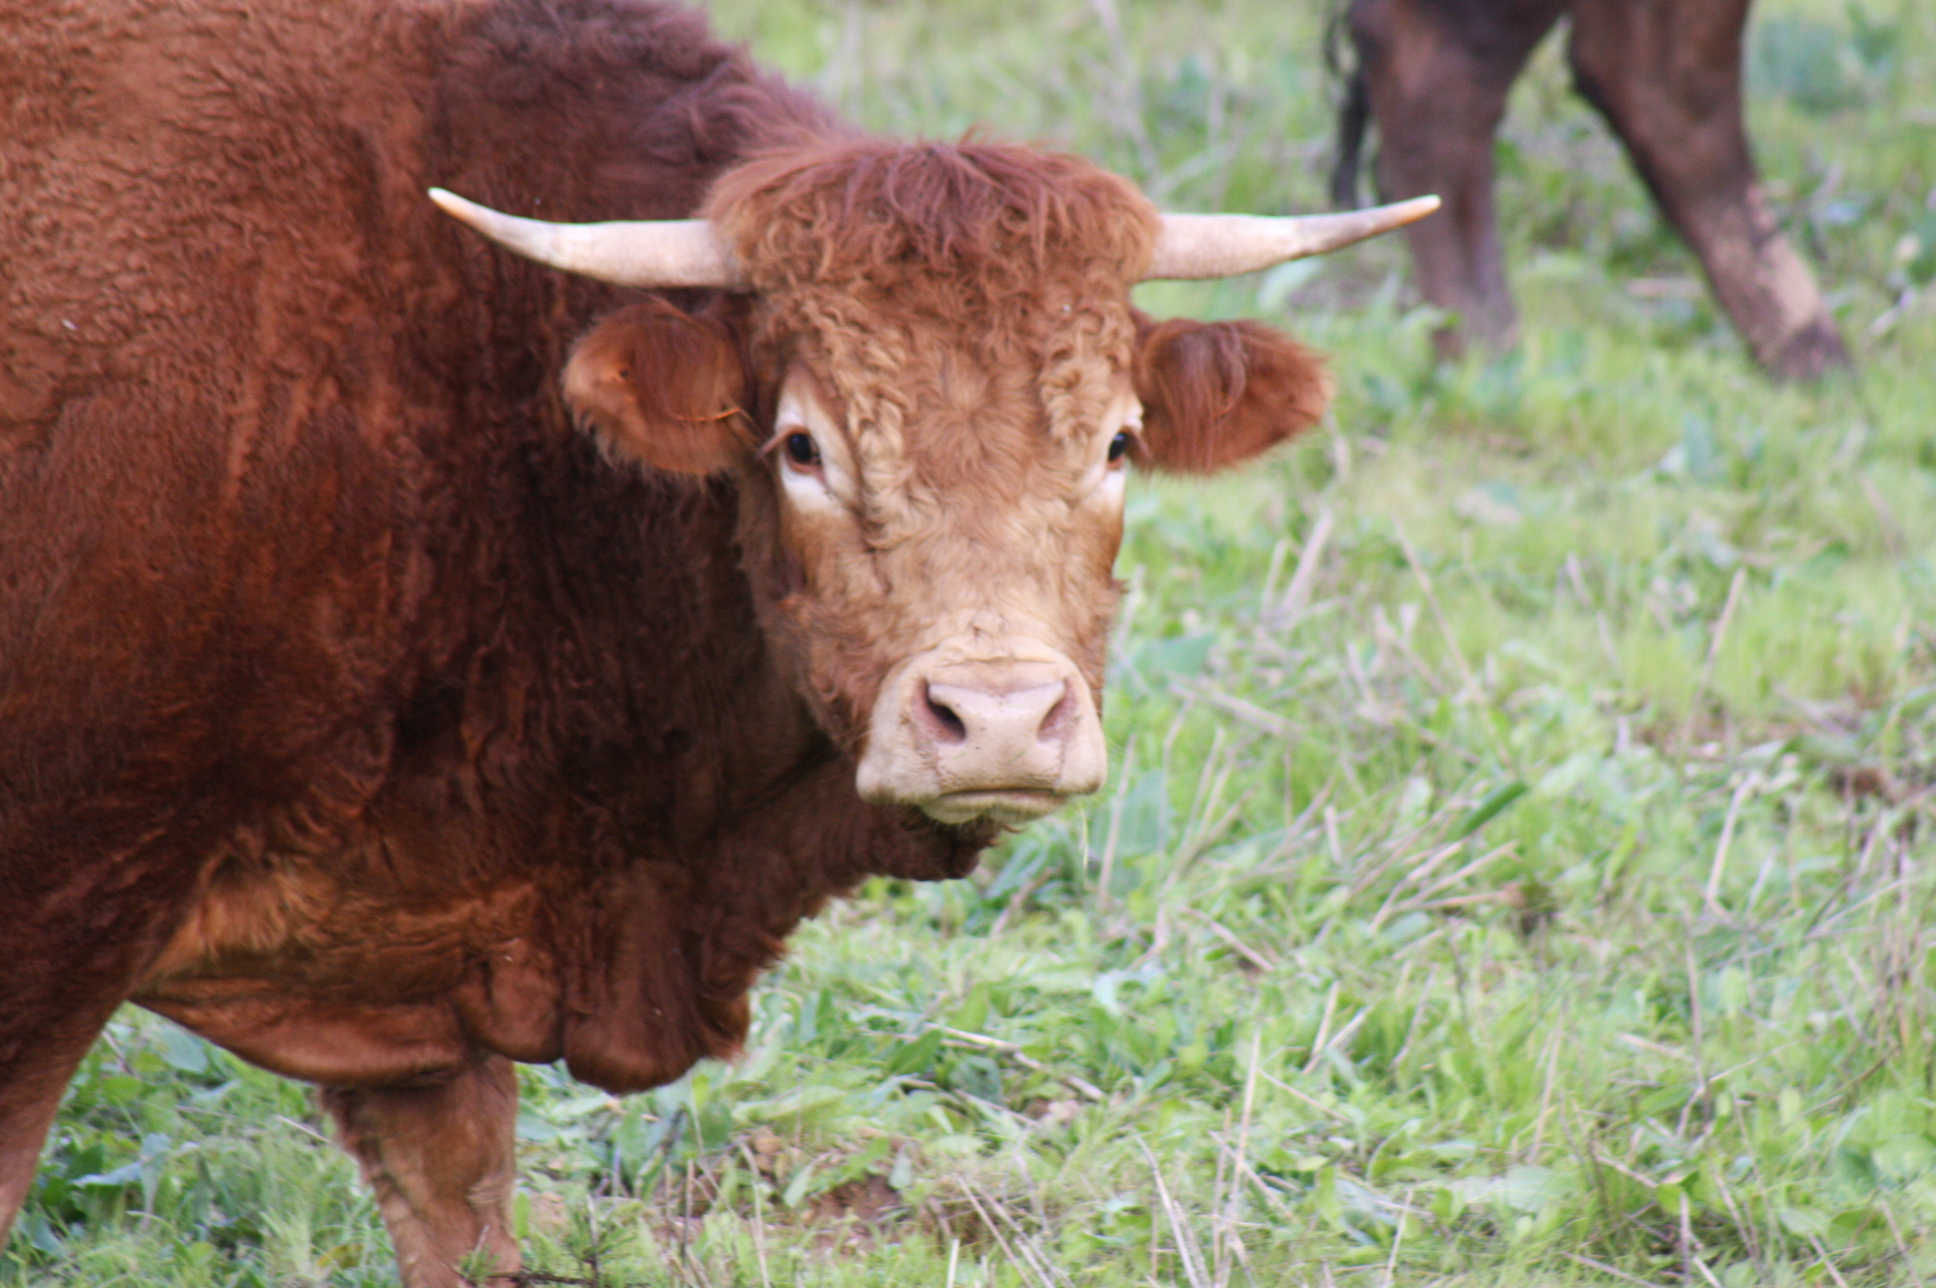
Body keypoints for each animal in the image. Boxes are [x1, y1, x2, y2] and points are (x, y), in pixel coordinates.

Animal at [0, 1, 1433, 1283]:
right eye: (801, 444)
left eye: (1119, 440)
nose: (999, 719)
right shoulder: (53, 928)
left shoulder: (427, 993)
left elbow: (461, 1213)